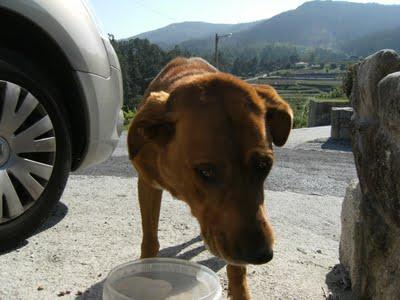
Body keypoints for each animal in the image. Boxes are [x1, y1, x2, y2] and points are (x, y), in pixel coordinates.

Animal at [129, 57, 294, 298]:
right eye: (206, 171)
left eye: (264, 165)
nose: (262, 255)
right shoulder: (147, 185)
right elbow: (150, 238)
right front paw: (147, 276)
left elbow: (236, 267)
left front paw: (240, 291)